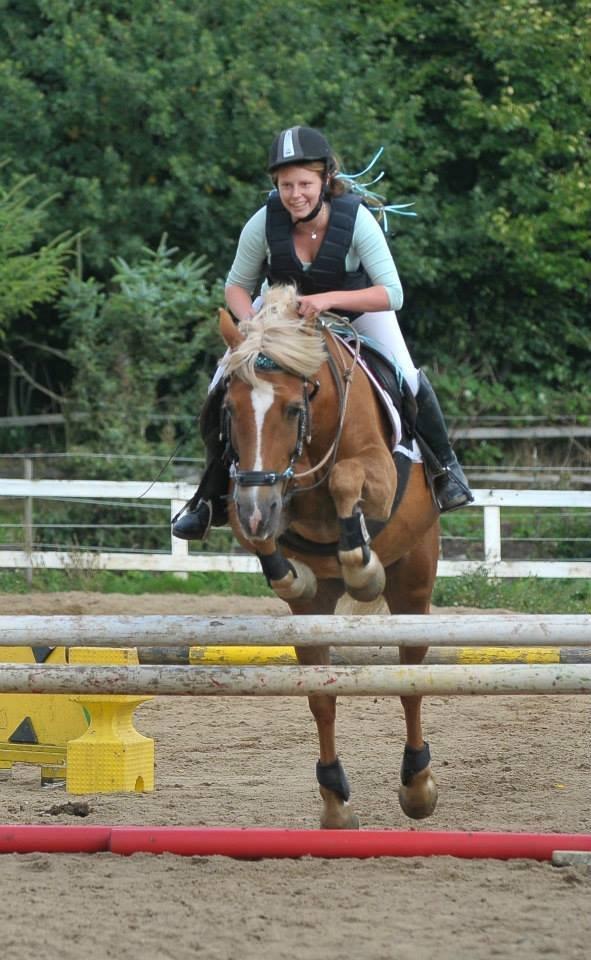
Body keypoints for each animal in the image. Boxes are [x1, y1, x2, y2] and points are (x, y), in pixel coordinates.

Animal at [216, 284, 440, 824]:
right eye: (229, 410)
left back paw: (417, 784)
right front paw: (291, 573)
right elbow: (261, 538)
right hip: (312, 616)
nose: (259, 507)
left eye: (294, 409)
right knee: (321, 694)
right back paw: (336, 801)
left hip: (414, 584)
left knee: (411, 675)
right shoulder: (241, 494)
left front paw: (362, 566)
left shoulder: (377, 475)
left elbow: (345, 479)